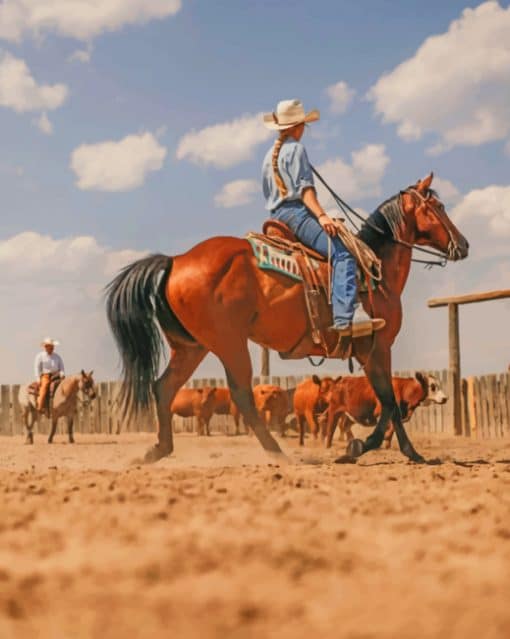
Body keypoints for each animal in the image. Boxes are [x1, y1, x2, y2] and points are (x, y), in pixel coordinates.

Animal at [105, 174, 468, 464]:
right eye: (438, 206)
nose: (463, 244)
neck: (376, 269)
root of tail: (176, 260)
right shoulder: (378, 349)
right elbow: (390, 403)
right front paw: (389, 450)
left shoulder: (371, 354)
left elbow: (388, 403)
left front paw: (372, 448)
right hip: (229, 343)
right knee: (241, 394)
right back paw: (278, 452)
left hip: (192, 346)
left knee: (163, 387)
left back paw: (158, 450)